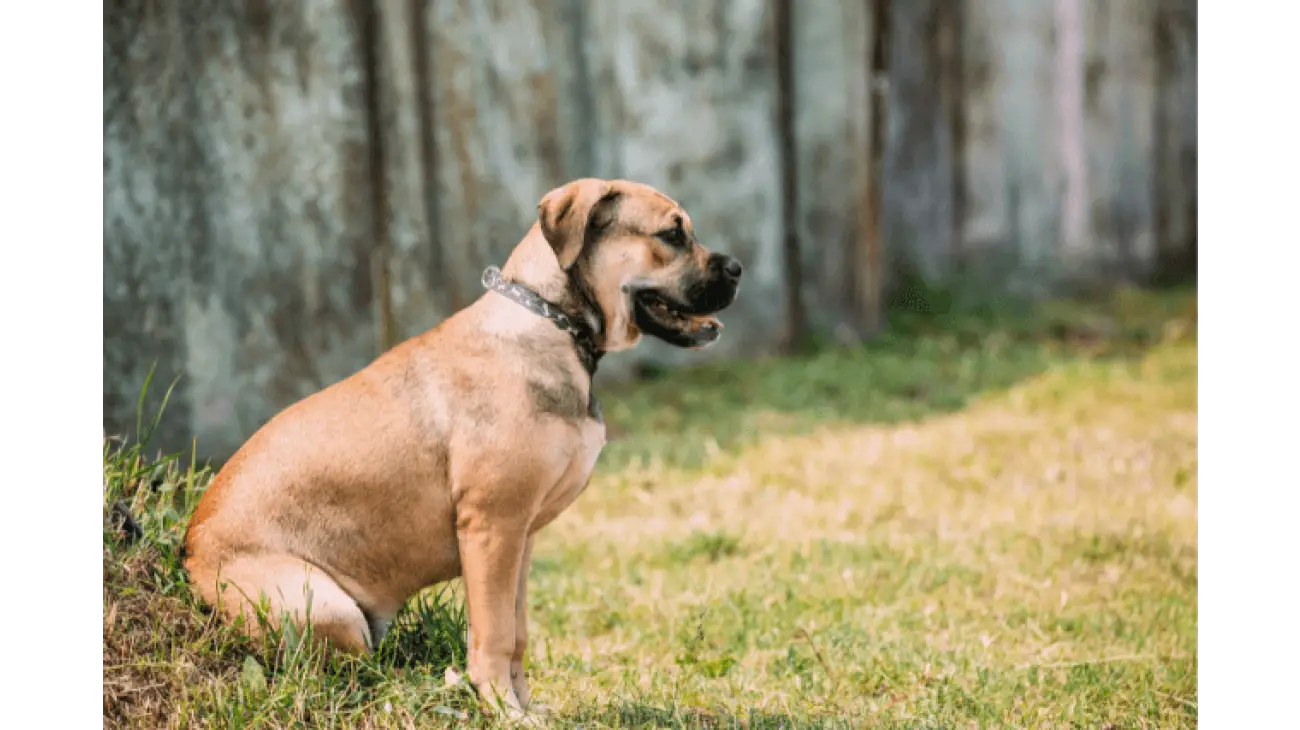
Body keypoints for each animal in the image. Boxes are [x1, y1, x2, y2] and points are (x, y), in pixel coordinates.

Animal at [180, 177, 743, 717]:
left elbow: (516, 633)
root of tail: (189, 554)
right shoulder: (492, 530)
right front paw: (500, 707)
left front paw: (524, 704)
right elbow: (494, 634)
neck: (551, 323)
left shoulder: (520, 539)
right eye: (671, 235)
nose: (737, 267)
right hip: (322, 604)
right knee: (345, 673)